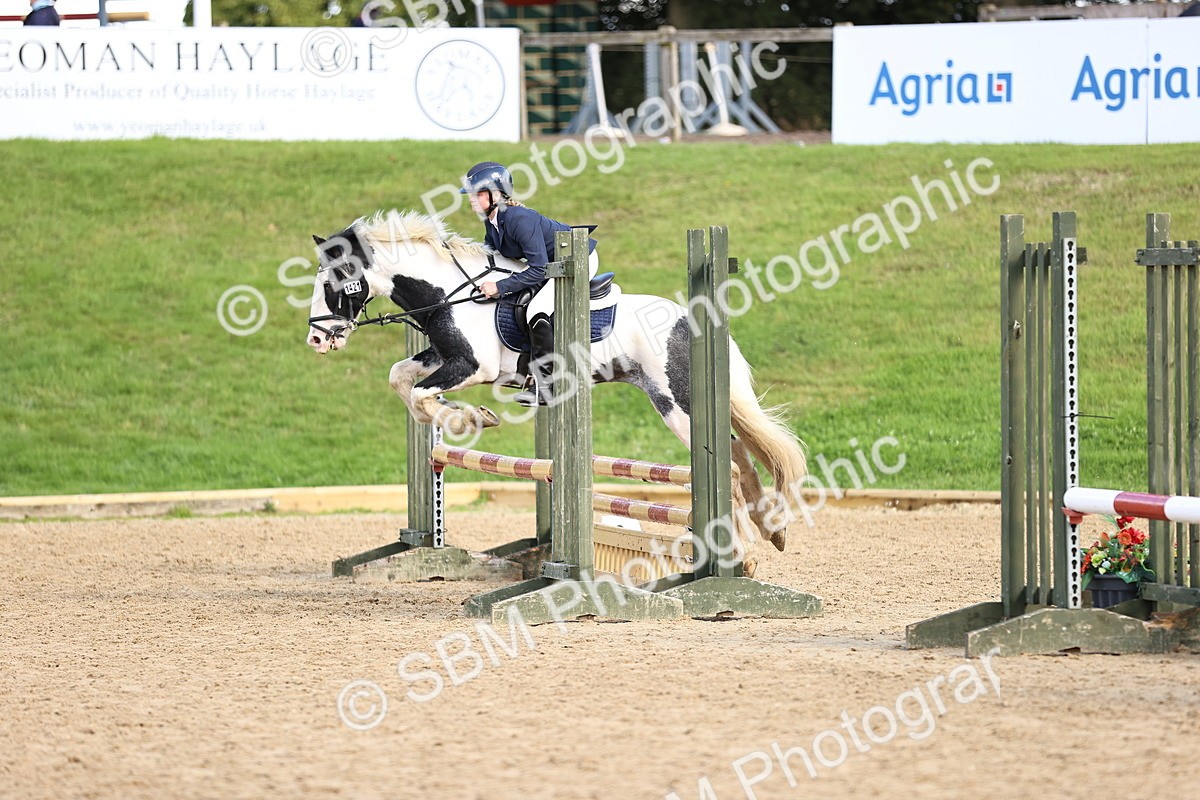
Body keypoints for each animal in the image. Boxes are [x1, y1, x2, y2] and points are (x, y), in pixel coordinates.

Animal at [305, 210, 807, 573]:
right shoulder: (442, 357)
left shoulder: (473, 365)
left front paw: (467, 418)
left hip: (676, 405)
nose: (316, 339)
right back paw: (773, 531)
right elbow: (401, 379)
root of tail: (694, 317)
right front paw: (455, 418)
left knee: (728, 462)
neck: (450, 293)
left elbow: (421, 395)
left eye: (331, 282)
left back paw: (744, 554)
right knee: (739, 454)